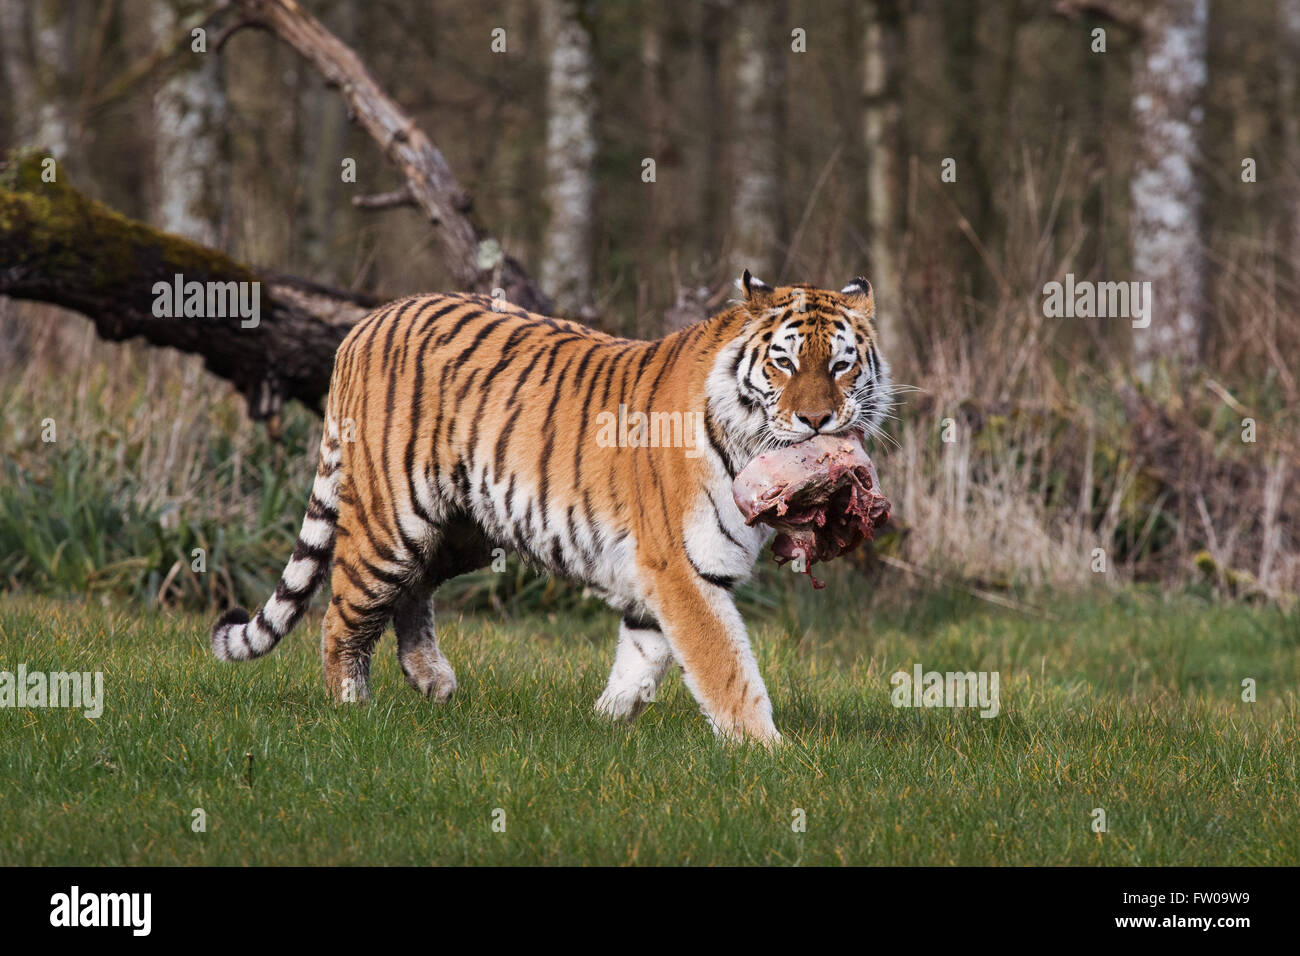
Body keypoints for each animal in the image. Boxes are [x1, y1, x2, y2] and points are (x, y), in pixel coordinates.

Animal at [210, 270, 894, 749]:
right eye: (784, 361)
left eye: (841, 363)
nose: (817, 420)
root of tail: (365, 323)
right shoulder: (681, 565)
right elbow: (724, 663)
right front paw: (766, 750)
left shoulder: (664, 574)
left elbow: (642, 657)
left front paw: (604, 724)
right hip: (392, 519)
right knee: (343, 612)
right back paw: (351, 706)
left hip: (464, 529)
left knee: (411, 591)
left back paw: (432, 679)